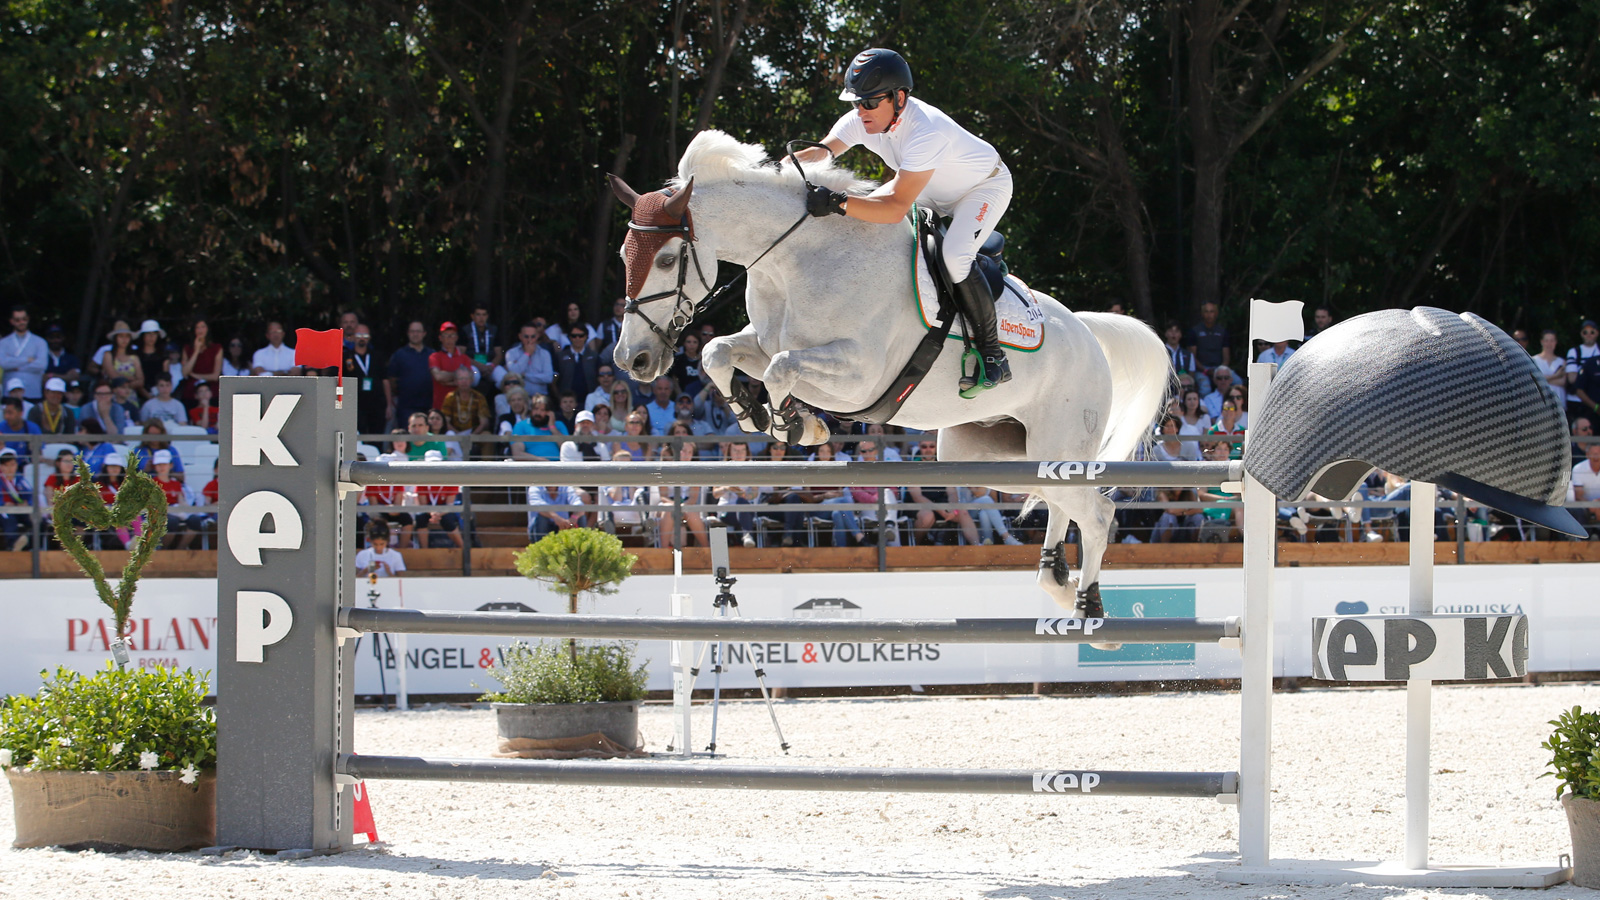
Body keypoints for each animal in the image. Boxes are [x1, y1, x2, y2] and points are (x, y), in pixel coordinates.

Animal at [604, 129, 1171, 614]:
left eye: (667, 259)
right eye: (625, 256)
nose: (632, 360)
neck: (796, 261)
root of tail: (1086, 331)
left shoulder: (860, 376)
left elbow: (783, 370)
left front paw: (796, 424)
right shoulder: (764, 345)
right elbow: (718, 353)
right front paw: (754, 414)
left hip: (1058, 440)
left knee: (1096, 514)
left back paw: (1088, 606)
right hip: (992, 456)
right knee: (1060, 500)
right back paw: (1056, 580)